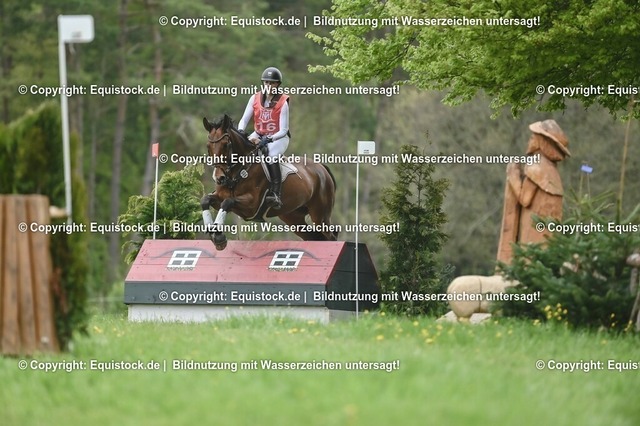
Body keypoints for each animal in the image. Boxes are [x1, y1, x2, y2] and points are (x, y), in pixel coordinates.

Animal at [200, 114, 338, 250]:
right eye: (208, 146)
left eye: (226, 144)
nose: (219, 178)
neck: (237, 171)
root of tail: (321, 167)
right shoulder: (220, 199)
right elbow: (205, 200)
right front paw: (214, 234)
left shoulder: (251, 206)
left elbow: (227, 202)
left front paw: (218, 236)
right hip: (293, 217)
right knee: (314, 237)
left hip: (320, 215)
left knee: (331, 235)